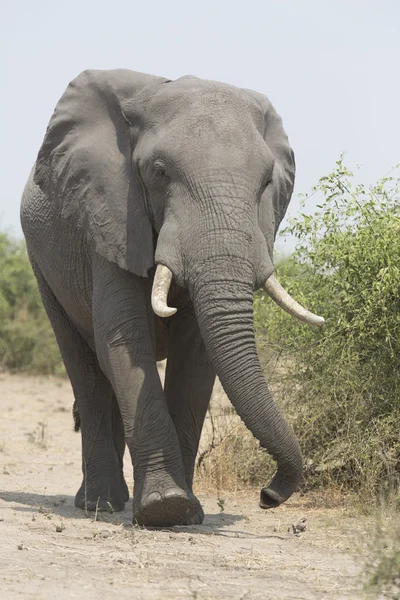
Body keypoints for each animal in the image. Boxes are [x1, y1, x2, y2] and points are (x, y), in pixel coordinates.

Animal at [20, 70, 324, 528]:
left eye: (267, 182)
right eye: (159, 171)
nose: (267, 495)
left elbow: (195, 356)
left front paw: (184, 512)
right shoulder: (111, 215)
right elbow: (124, 339)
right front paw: (166, 508)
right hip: (44, 264)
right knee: (85, 368)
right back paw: (99, 504)